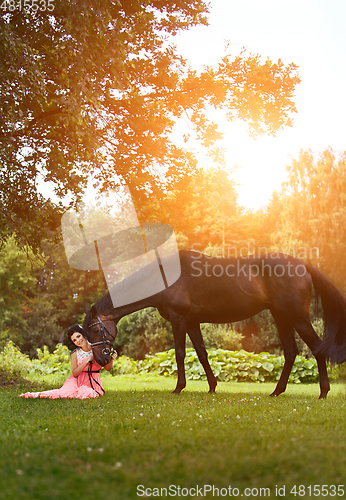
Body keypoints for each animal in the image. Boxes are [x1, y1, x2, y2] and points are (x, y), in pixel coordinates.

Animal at [82, 250, 346, 398]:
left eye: (95, 328)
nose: (102, 359)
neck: (167, 279)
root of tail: (303, 265)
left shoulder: (179, 320)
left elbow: (180, 353)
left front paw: (178, 388)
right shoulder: (192, 322)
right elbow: (201, 353)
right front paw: (211, 387)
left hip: (296, 317)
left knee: (317, 348)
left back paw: (323, 393)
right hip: (281, 317)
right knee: (291, 352)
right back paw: (276, 392)